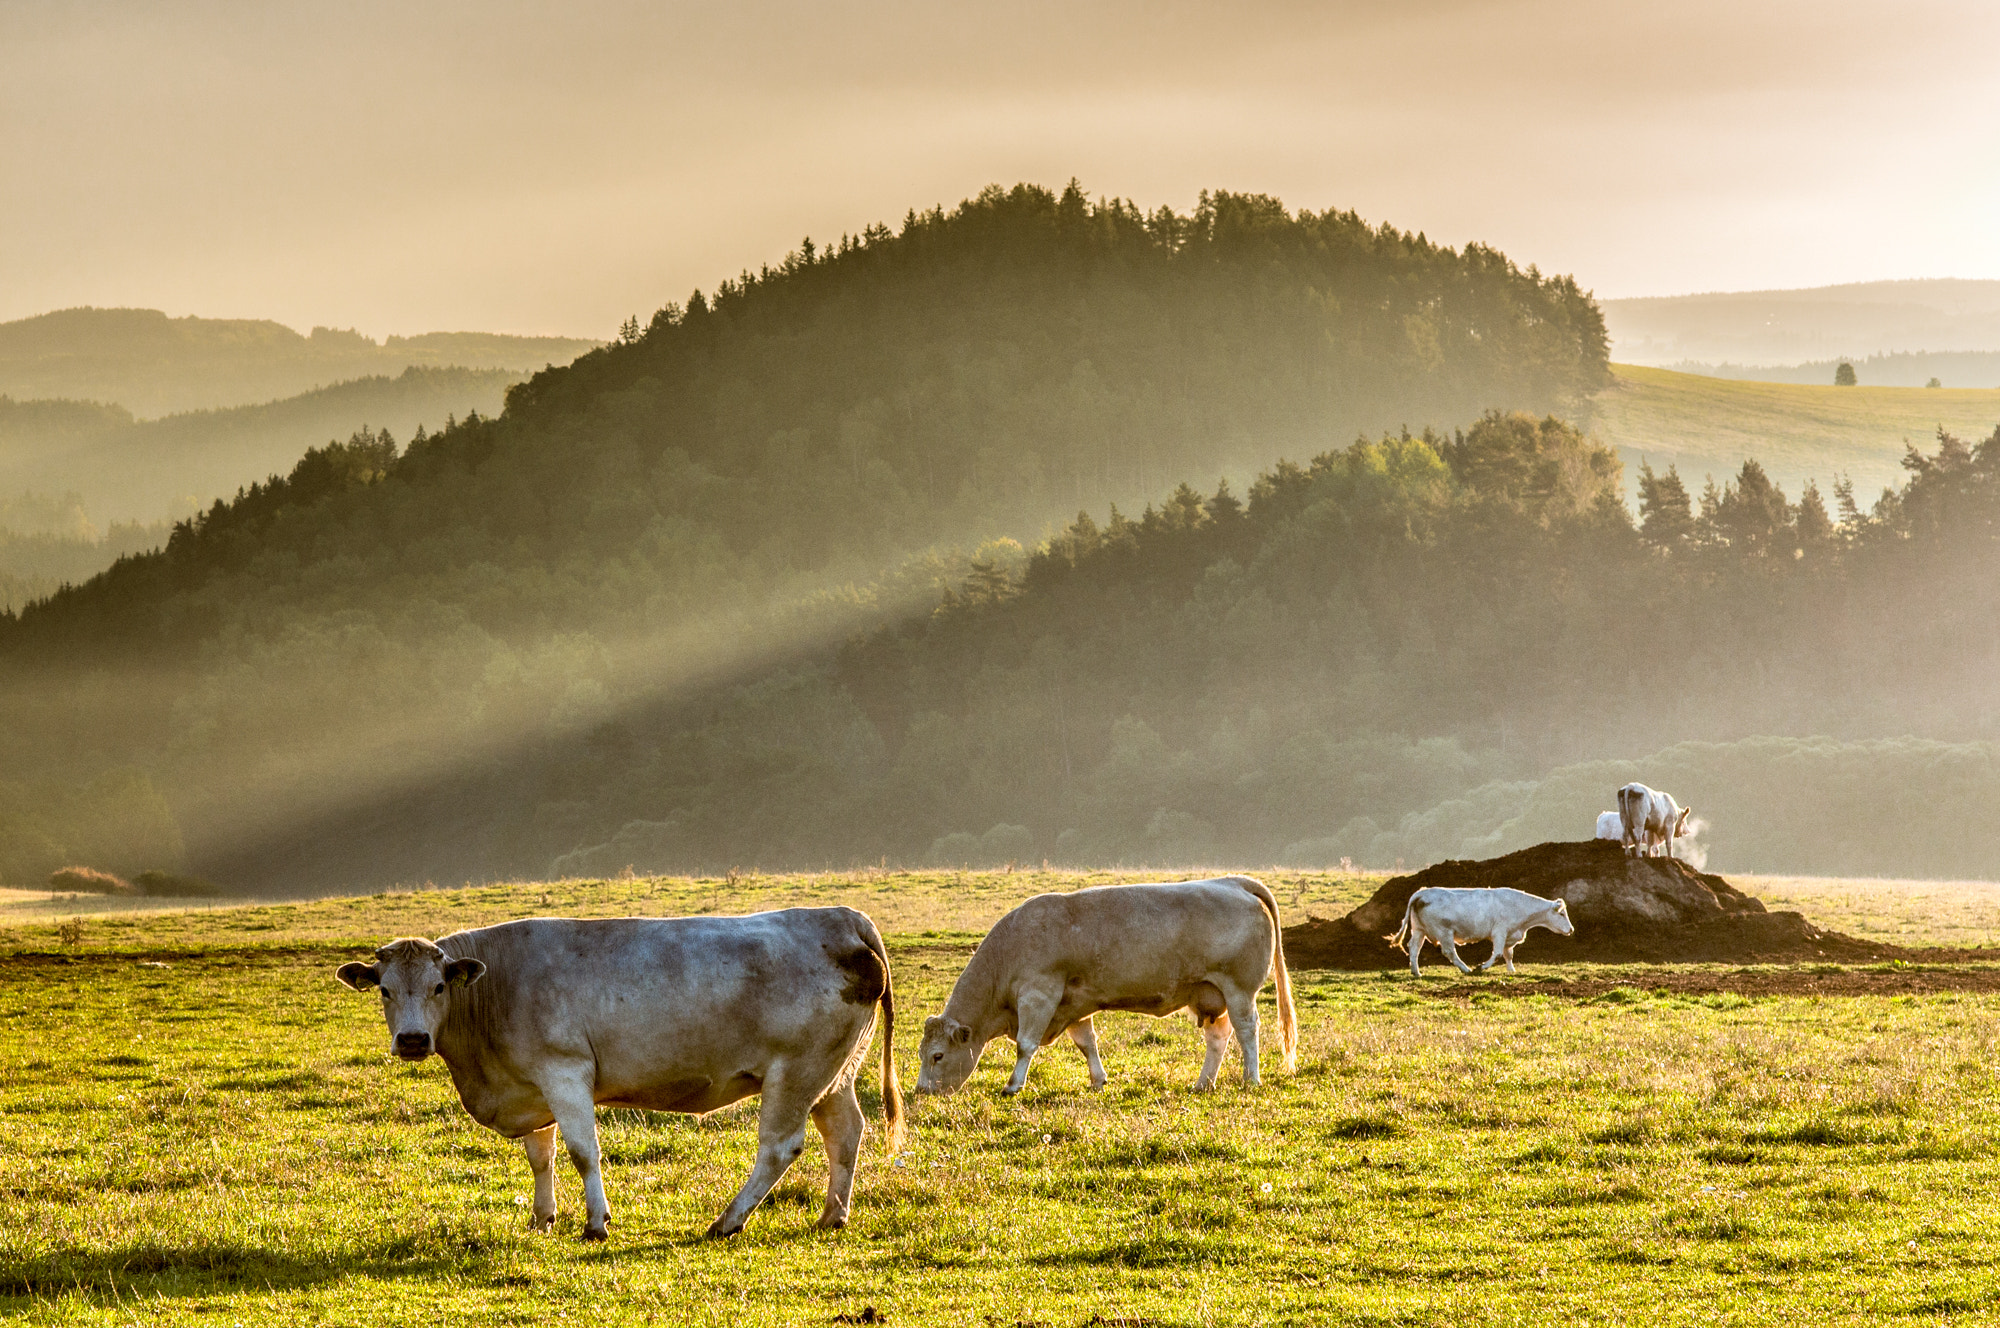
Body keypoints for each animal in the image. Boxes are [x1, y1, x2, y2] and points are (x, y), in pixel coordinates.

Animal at [334, 908, 900, 1240]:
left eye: (438, 987)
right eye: (384, 989)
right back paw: (832, 1215)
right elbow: (541, 1156)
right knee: (845, 1132)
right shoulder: (531, 1084)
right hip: (834, 1073)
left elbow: (583, 1151)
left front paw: (595, 1223)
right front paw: (542, 1218)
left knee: (780, 1147)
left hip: (797, 1070)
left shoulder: (564, 1071)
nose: (412, 1040)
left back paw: (727, 1220)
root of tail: (840, 917)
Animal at [916, 872, 1296, 1096]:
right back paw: (1203, 1083)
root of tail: (1232, 881)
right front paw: (1099, 1080)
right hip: (1208, 993)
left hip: (1239, 990)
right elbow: (1087, 1043)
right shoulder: (1073, 1003)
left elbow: (1025, 1044)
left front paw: (1013, 1085)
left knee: (1247, 1030)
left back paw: (1251, 1078)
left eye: (938, 1056)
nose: (920, 1090)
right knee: (1218, 1037)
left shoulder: (1040, 995)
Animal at [1384, 888, 1568, 980]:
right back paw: (1466, 969)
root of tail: (1421, 893)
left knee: (1414, 948)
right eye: (1561, 914)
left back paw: (1416, 972)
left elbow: (1508, 954)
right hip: (1444, 932)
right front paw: (1482, 967)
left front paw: (1511, 970)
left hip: (1419, 930)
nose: (1571, 929)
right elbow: (1498, 953)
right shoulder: (1500, 932)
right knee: (1449, 952)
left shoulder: (1509, 935)